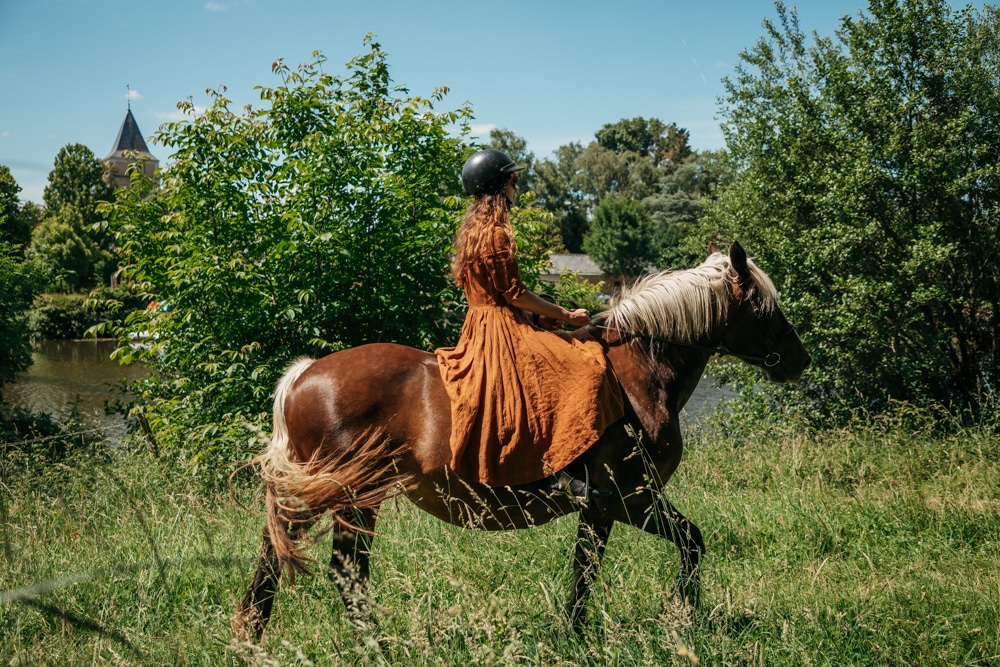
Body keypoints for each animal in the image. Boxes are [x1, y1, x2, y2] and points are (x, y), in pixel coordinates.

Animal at [234, 241, 812, 640]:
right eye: (765, 308)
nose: (801, 360)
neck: (639, 371)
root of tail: (305, 375)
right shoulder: (625, 499)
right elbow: (634, 557)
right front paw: (663, 619)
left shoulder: (611, 505)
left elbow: (617, 561)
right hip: (343, 496)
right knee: (324, 569)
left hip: (349, 499)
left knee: (318, 565)